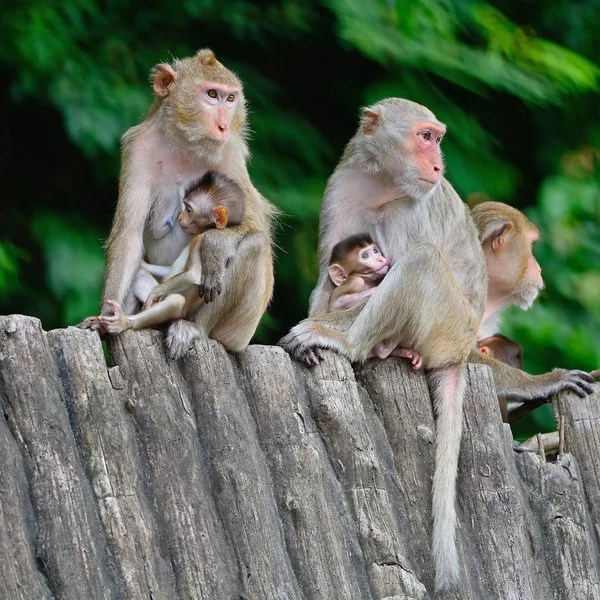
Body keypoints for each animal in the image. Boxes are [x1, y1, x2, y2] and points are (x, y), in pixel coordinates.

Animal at [99, 171, 245, 336]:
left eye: (189, 210)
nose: (180, 216)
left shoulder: (201, 240)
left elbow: (193, 274)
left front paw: (154, 292)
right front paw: (142, 263)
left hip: (180, 312)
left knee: (175, 301)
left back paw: (124, 322)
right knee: (139, 274)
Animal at [328, 233, 422, 368]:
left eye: (375, 251)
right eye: (365, 256)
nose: (381, 259)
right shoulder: (355, 281)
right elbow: (337, 304)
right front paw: (377, 289)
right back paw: (383, 351)